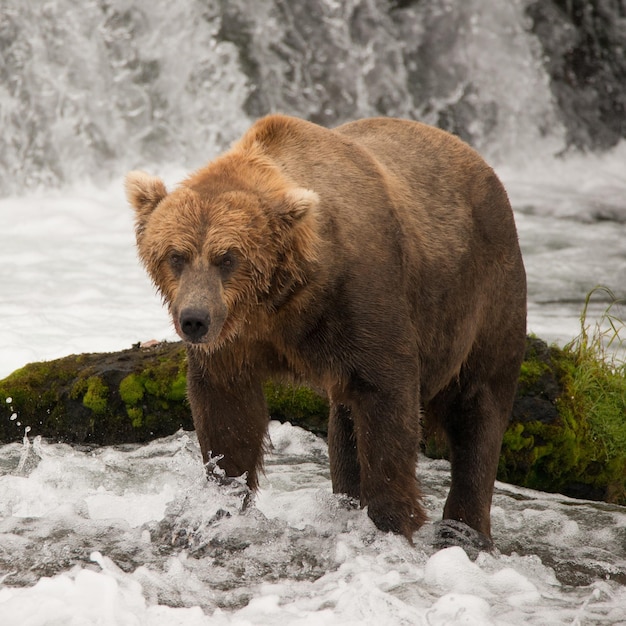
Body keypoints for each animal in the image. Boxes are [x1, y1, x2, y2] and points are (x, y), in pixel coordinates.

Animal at [124, 114, 524, 544]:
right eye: (176, 256)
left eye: (227, 258)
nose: (194, 320)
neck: (282, 300)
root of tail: (479, 161)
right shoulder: (237, 338)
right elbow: (226, 411)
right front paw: (218, 505)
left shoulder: (363, 299)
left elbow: (389, 401)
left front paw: (392, 519)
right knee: (345, 425)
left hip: (484, 296)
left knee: (479, 407)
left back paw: (464, 528)